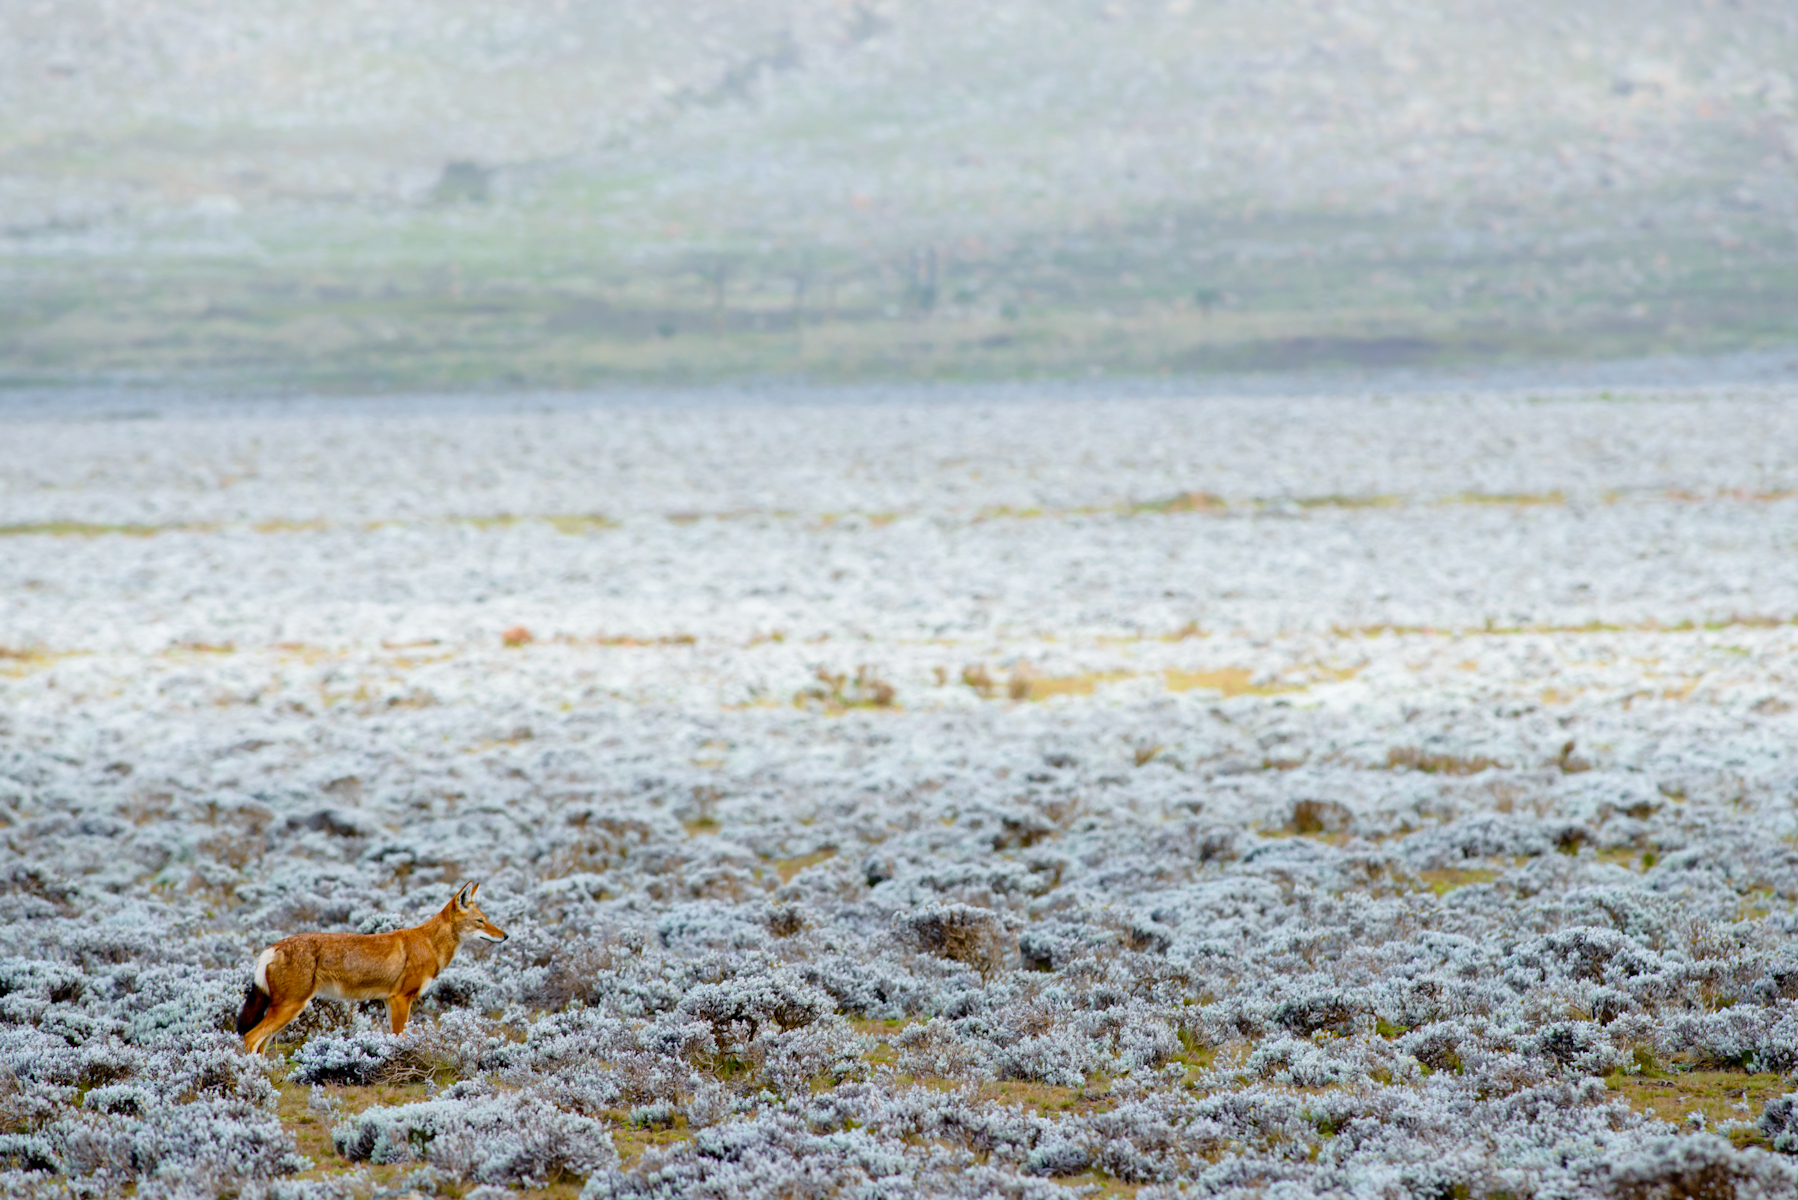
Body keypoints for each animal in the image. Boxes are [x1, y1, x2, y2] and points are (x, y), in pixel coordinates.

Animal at [237, 881, 507, 1054]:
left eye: (487, 919)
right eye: (480, 921)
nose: (505, 935)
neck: (429, 944)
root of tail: (273, 947)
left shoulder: (390, 1000)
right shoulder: (401, 999)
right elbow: (401, 1039)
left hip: (287, 1012)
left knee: (261, 1043)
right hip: (291, 1008)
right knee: (251, 1038)